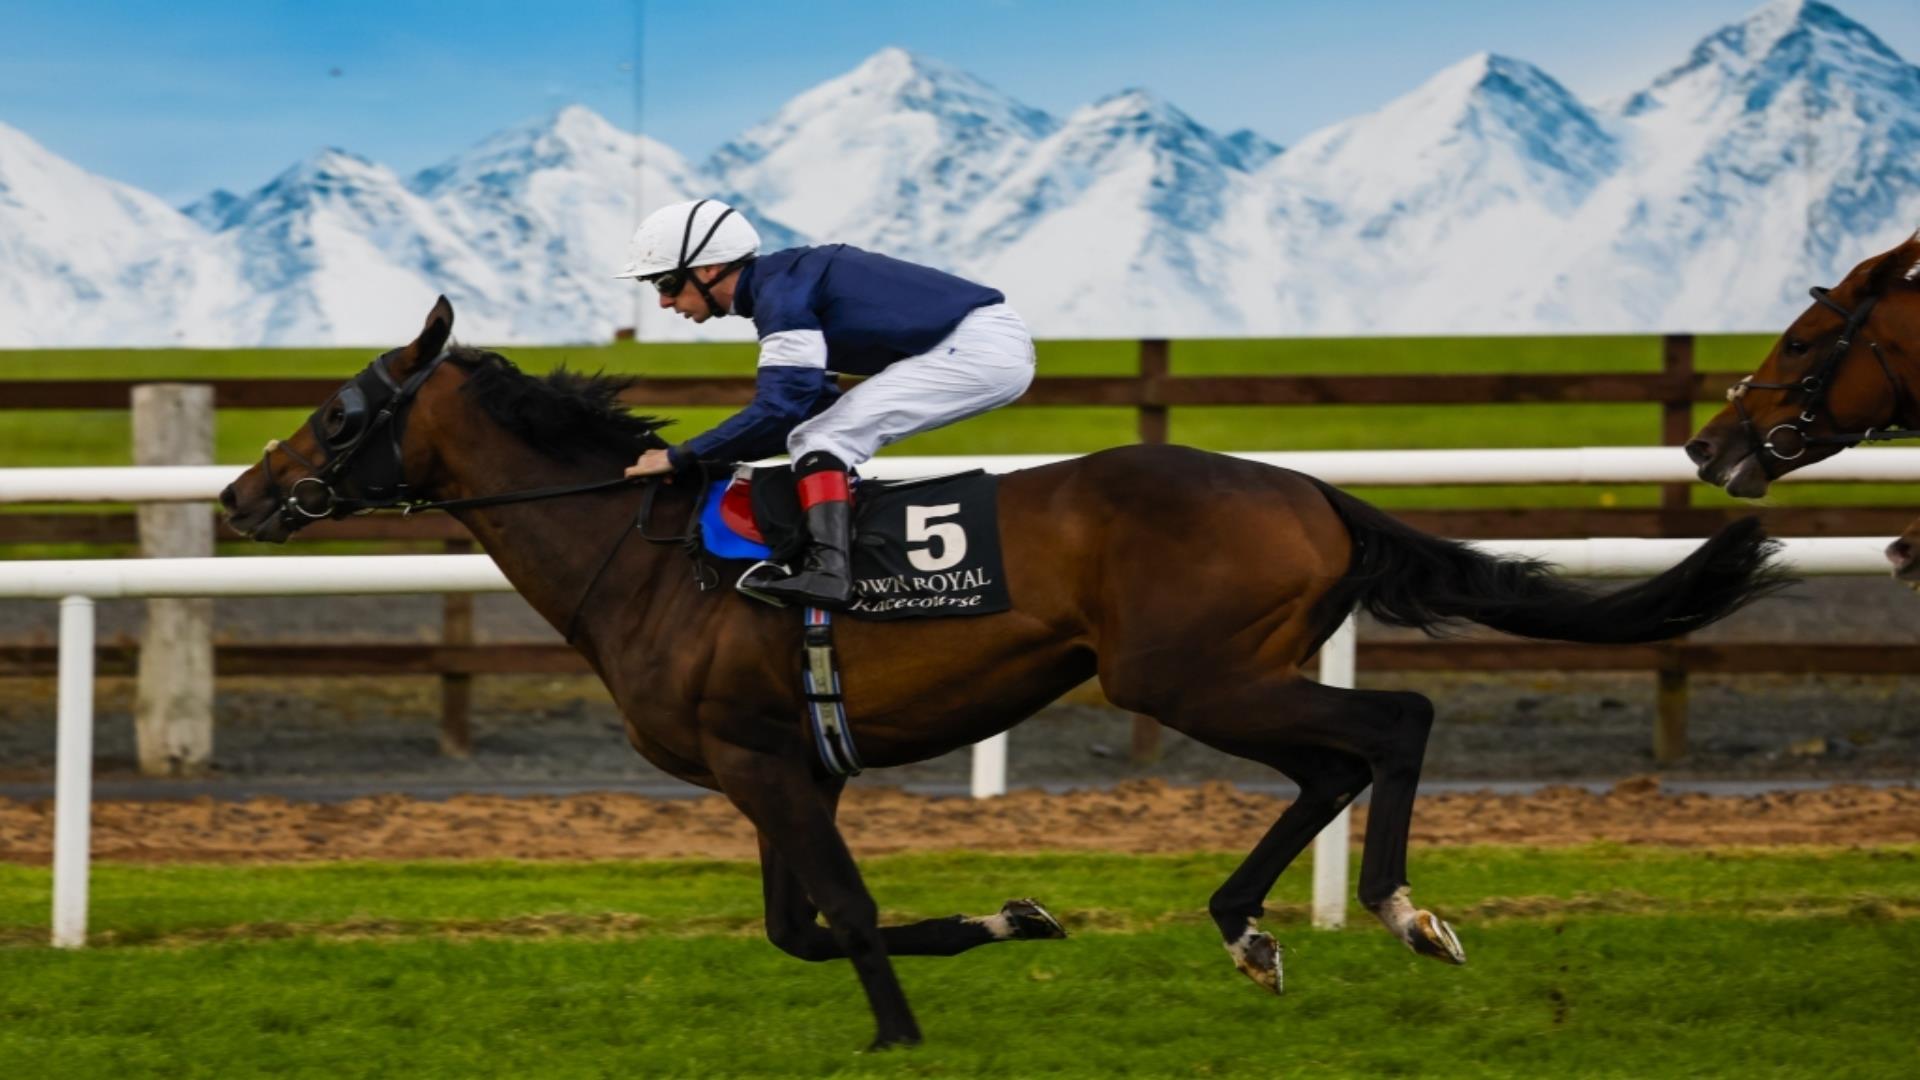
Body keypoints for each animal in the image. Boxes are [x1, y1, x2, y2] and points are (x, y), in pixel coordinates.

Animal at [221, 298, 1788, 1050]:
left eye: (338, 414)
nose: (241, 494)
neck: (647, 554)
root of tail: (1312, 492)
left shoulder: (761, 765)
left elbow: (842, 921)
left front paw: (902, 1037)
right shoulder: (778, 768)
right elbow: (804, 929)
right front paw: (1014, 917)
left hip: (1194, 677)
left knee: (1391, 721)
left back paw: (1403, 914)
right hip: (1223, 676)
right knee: (1334, 761)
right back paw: (1246, 927)